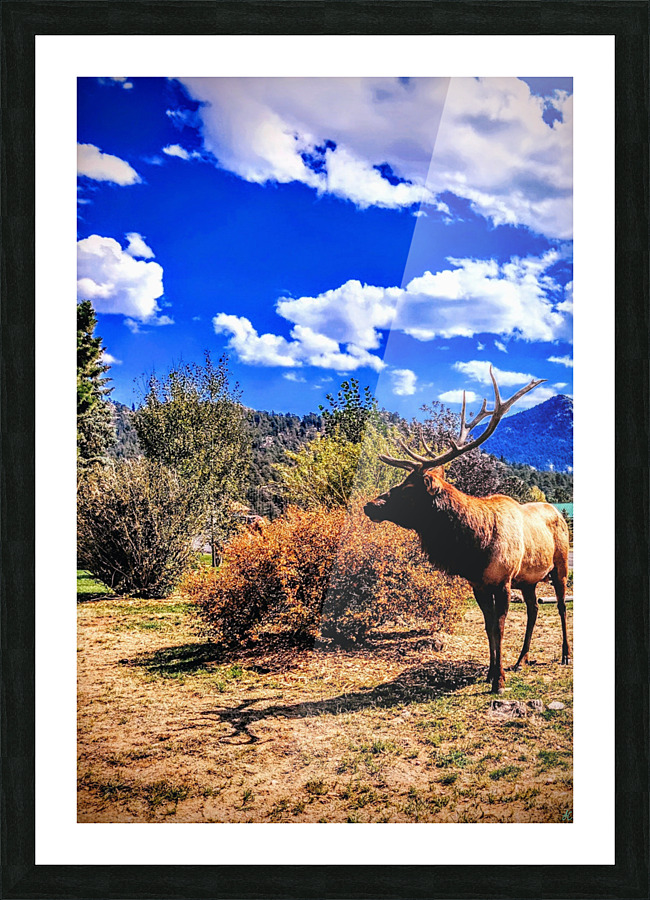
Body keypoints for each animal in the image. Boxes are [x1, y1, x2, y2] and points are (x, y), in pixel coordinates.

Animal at [363, 367, 570, 694]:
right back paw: (521, 660)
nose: (370, 505)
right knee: (535, 608)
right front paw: (490, 671)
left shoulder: (503, 581)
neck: (476, 549)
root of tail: (556, 511)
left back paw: (564, 655)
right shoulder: (478, 584)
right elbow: (488, 627)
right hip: (528, 579)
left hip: (560, 566)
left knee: (561, 606)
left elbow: (499, 626)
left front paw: (499, 681)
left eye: (408, 489)